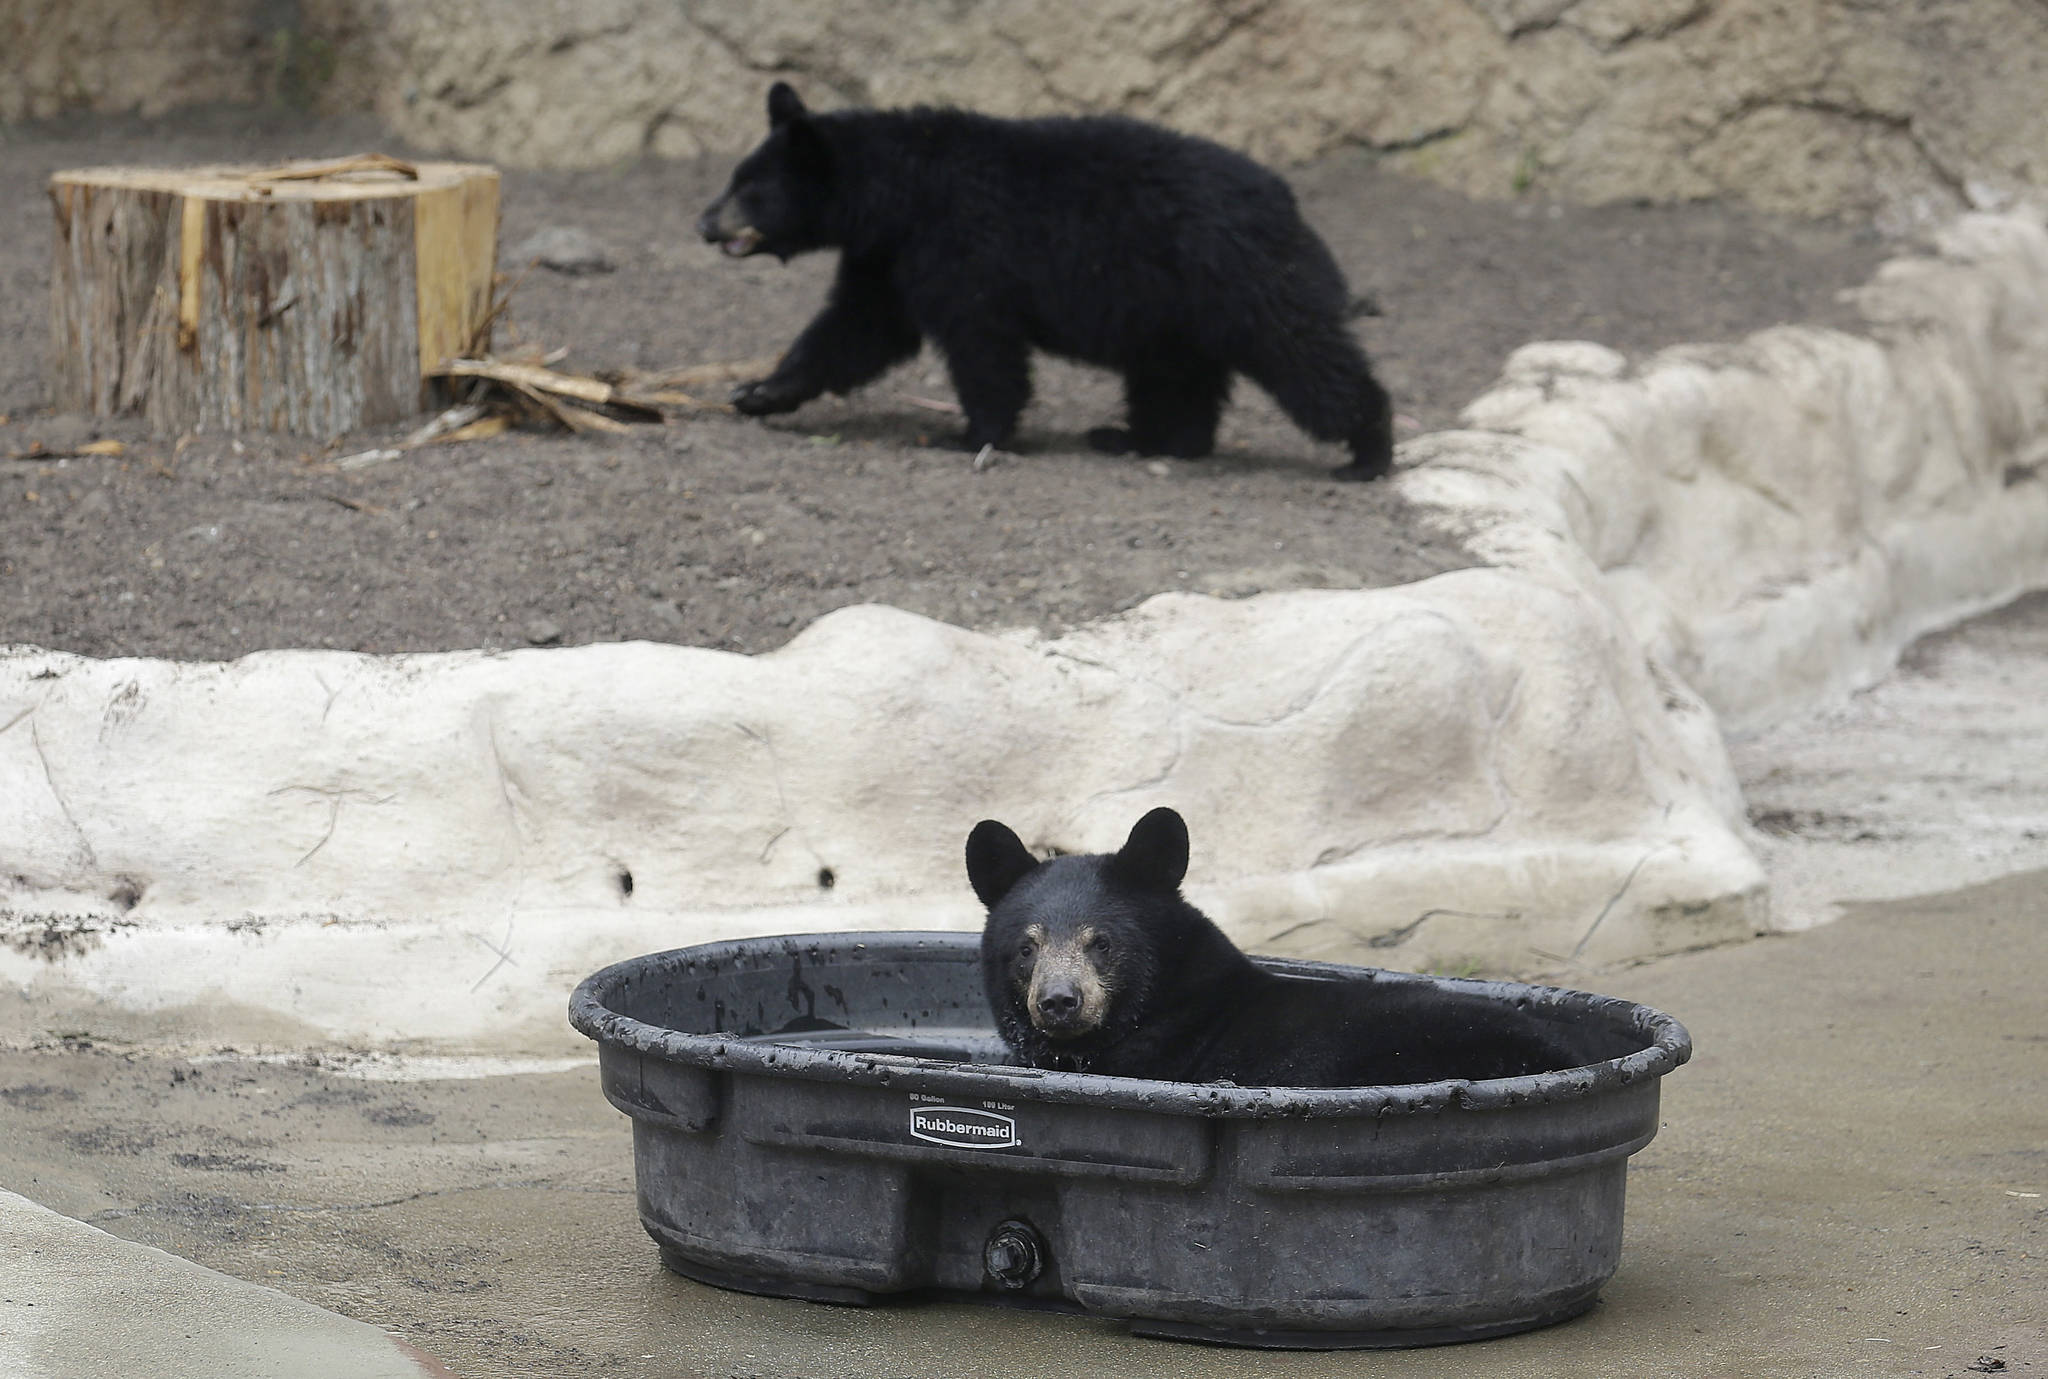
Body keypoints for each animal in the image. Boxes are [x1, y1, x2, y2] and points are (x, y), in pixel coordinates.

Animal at [696, 83, 1395, 480]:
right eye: (736, 178)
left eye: (752, 190)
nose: (703, 221)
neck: (897, 194)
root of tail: (1289, 203)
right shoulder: (887, 256)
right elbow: (857, 328)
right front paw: (759, 392)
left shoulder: (961, 246)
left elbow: (981, 345)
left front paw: (971, 436)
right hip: (1175, 307)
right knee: (1176, 377)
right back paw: (1140, 438)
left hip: (1239, 280)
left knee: (1302, 356)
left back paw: (1368, 451)